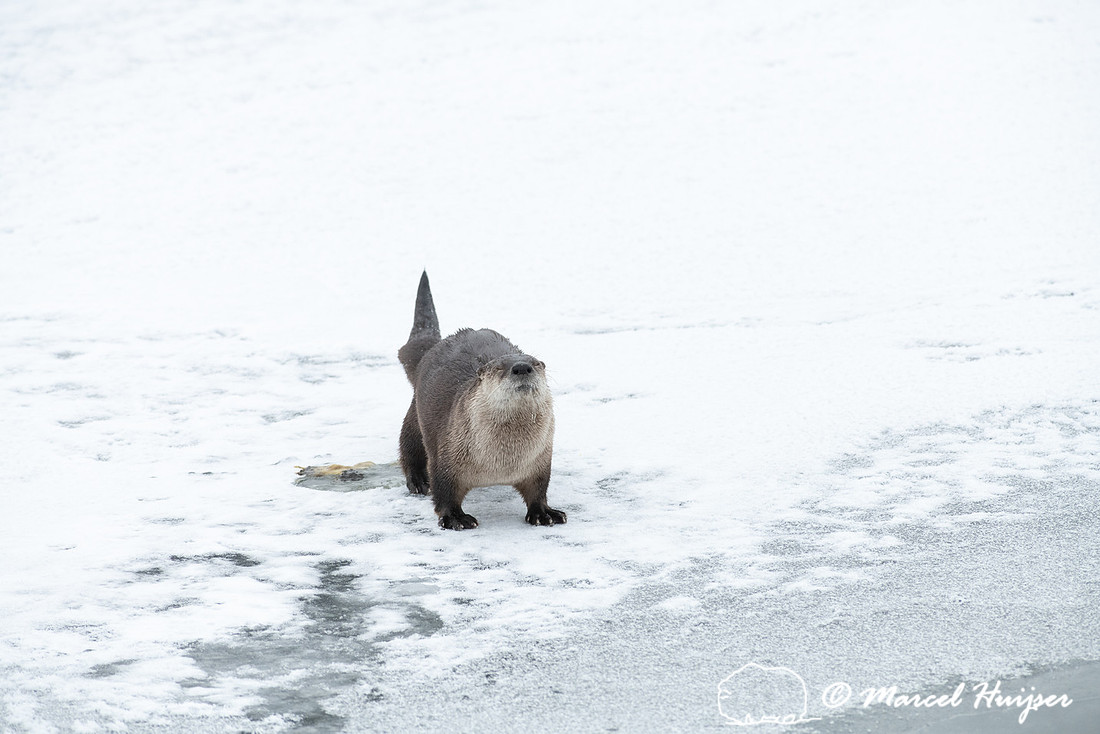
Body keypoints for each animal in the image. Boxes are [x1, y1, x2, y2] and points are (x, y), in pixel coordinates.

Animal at [397, 271, 567, 530]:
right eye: (499, 367)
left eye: (536, 363)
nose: (521, 367)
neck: (503, 462)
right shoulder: (446, 456)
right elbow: (444, 491)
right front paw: (455, 518)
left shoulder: (540, 460)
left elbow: (538, 489)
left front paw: (543, 512)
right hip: (416, 414)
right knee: (409, 443)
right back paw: (417, 481)